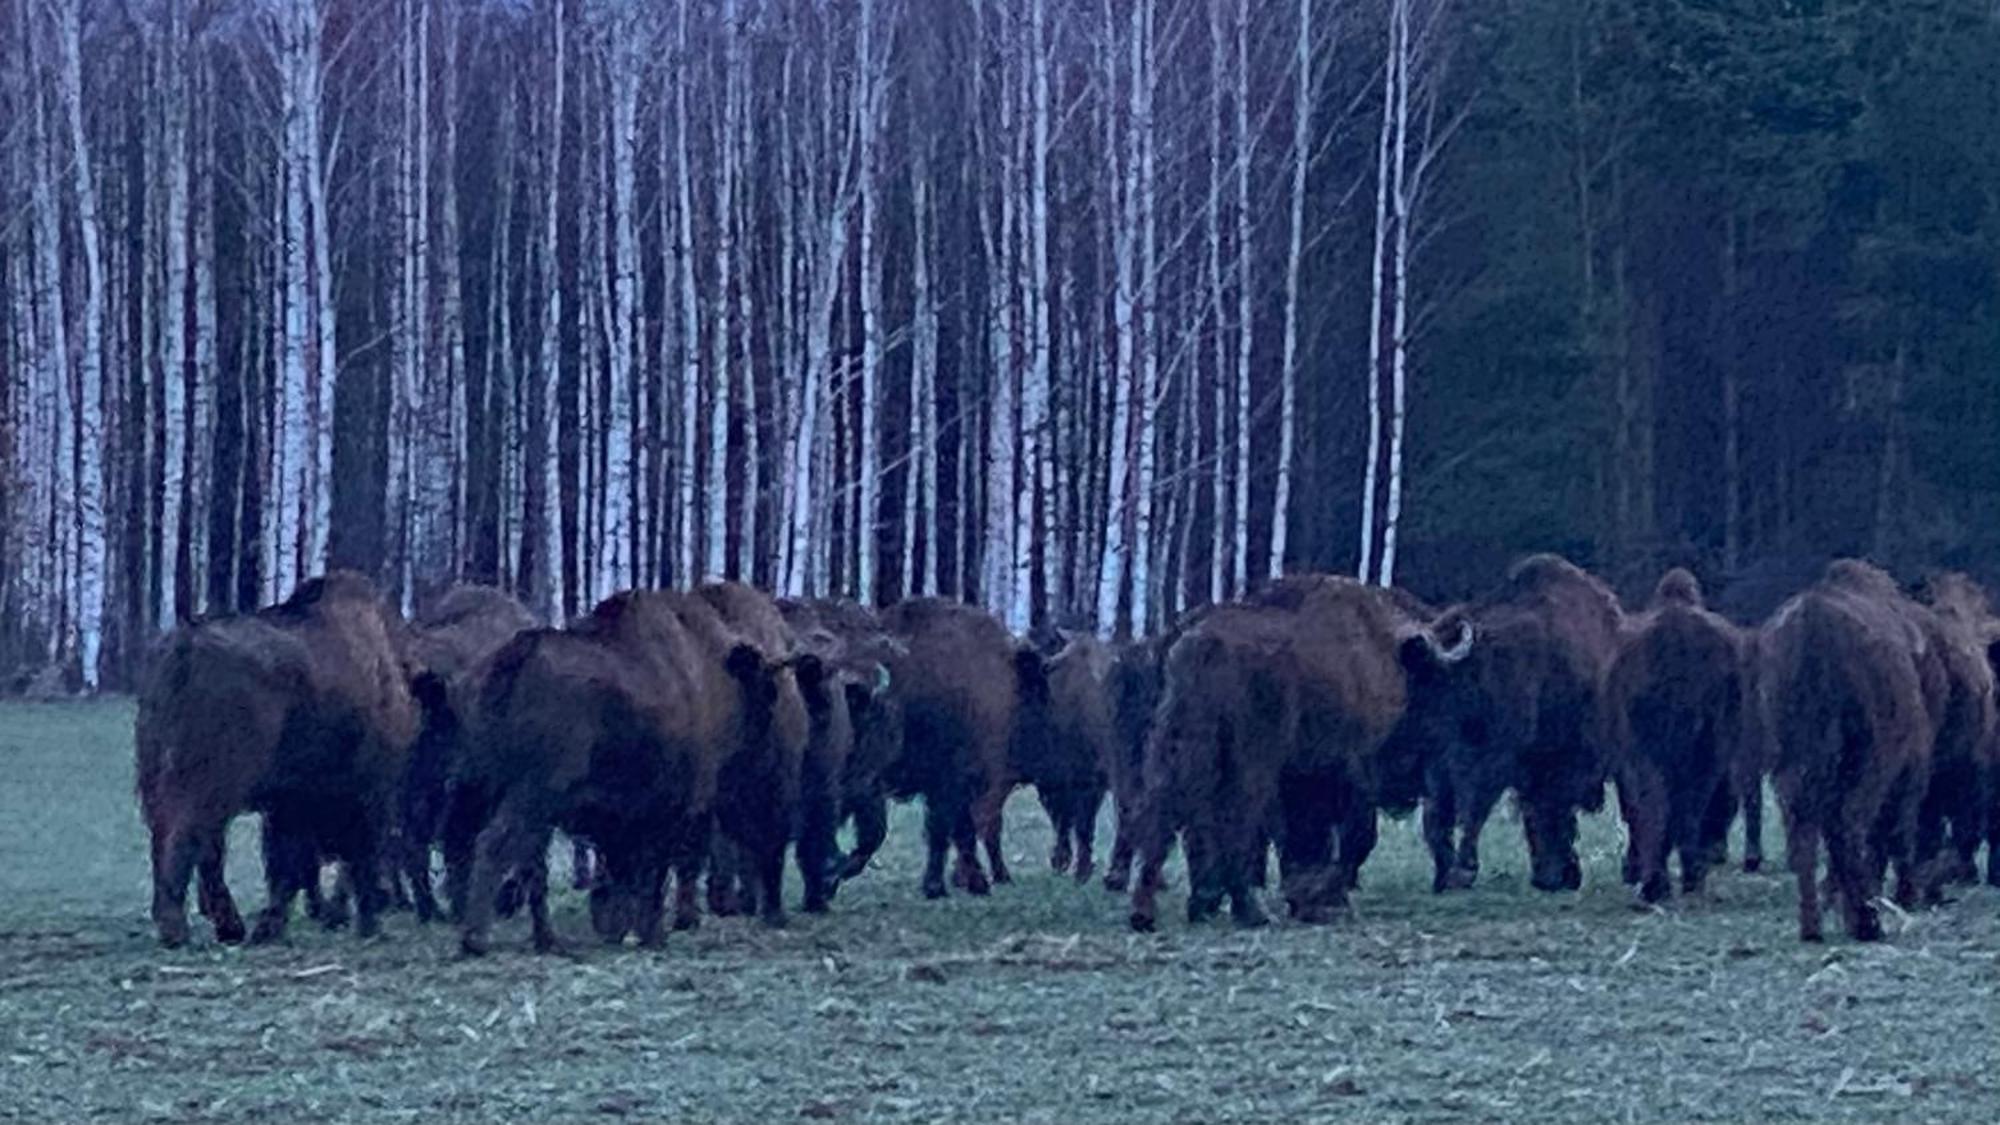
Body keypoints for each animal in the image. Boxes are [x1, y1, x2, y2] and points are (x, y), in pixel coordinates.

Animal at [136, 568, 418, 944]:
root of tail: (186, 645)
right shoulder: (369, 790)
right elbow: (337, 857)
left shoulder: (289, 800)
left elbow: (287, 862)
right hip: (210, 783)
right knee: (186, 837)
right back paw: (179, 928)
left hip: (159, 776)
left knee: (178, 840)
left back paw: (222, 926)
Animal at [1136, 572, 1480, 924]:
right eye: (1434, 679)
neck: (1380, 644)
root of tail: (1201, 644)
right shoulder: (1347, 765)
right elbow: (1350, 835)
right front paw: (1328, 900)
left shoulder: (1303, 773)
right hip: (1250, 759)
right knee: (1236, 816)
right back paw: (1252, 910)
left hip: (1177, 741)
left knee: (1164, 808)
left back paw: (1154, 911)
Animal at [1408, 552, 1624, 892]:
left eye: (1434, 680)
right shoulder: (1444, 766)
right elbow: (1438, 815)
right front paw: (1445, 873)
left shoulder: (1497, 760)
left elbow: (1476, 808)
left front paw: (1462, 871)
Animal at [1600, 568, 1744, 900]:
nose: (1718, 850)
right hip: (1704, 746)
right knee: (1681, 805)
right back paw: (1684, 877)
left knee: (1656, 804)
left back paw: (1657, 881)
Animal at [1768, 556, 1936, 936]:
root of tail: (1813, 624)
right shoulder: (1909, 770)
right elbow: (1897, 833)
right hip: (1868, 766)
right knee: (1852, 823)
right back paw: (1865, 920)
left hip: (1795, 766)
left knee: (1804, 831)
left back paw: (1813, 925)